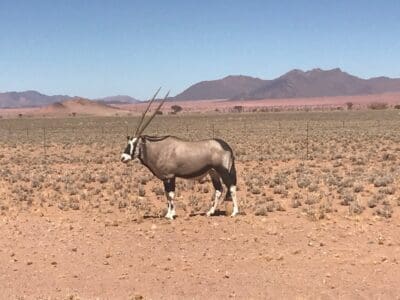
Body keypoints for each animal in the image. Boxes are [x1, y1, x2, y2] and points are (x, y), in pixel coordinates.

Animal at [119, 88, 238, 219]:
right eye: (128, 142)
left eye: (135, 143)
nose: (123, 157)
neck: (159, 148)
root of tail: (225, 145)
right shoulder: (165, 178)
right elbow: (167, 195)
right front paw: (169, 213)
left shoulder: (170, 176)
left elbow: (171, 194)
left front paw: (170, 215)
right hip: (213, 172)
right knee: (219, 190)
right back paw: (209, 212)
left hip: (223, 171)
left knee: (231, 187)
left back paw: (234, 212)